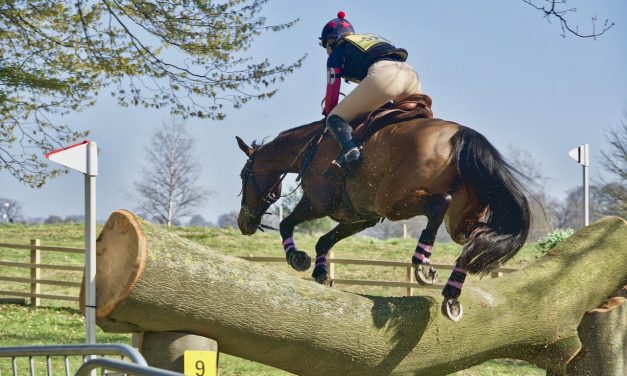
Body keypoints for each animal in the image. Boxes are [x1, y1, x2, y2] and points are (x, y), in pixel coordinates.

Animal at [236, 117, 528, 320]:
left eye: (243, 175)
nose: (243, 223)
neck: (309, 149)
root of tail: (461, 133)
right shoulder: (361, 217)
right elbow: (323, 241)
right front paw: (321, 273)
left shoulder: (317, 202)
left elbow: (286, 224)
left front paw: (297, 258)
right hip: (460, 221)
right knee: (475, 240)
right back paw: (451, 295)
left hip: (394, 203)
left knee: (439, 204)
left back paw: (422, 263)